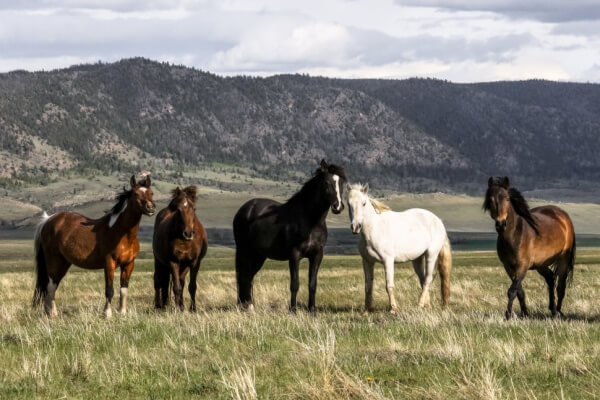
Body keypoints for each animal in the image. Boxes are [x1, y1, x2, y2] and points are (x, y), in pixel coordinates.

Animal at [33, 177, 156, 318]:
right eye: (136, 194)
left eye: (151, 193)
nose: (151, 207)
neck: (122, 234)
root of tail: (48, 220)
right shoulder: (109, 263)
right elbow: (109, 290)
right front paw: (107, 314)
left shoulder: (129, 264)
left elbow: (124, 289)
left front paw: (122, 312)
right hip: (54, 261)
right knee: (51, 286)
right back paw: (52, 314)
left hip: (64, 263)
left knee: (52, 285)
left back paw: (50, 312)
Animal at [234, 159, 346, 312]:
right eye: (326, 182)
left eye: (342, 183)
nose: (338, 206)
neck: (310, 221)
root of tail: (244, 209)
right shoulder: (294, 255)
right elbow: (294, 284)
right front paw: (293, 310)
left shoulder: (317, 255)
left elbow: (312, 284)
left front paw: (312, 310)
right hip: (244, 251)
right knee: (244, 277)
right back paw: (247, 307)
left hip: (258, 255)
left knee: (249, 277)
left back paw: (249, 306)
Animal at [346, 184, 450, 312]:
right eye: (348, 204)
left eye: (364, 203)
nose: (356, 227)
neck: (374, 230)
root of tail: (438, 221)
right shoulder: (367, 261)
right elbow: (368, 286)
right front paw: (367, 310)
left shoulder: (388, 261)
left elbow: (389, 285)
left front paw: (393, 309)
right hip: (417, 259)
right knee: (422, 279)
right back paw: (426, 305)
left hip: (431, 255)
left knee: (427, 280)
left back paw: (419, 305)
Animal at [482, 177, 576, 320]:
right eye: (491, 199)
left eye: (507, 198)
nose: (501, 224)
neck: (515, 235)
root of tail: (564, 216)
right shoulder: (509, 267)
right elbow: (519, 291)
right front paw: (525, 313)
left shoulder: (523, 265)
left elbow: (512, 290)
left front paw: (508, 315)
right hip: (540, 264)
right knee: (550, 278)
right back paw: (553, 309)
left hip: (563, 260)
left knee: (560, 286)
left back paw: (558, 312)